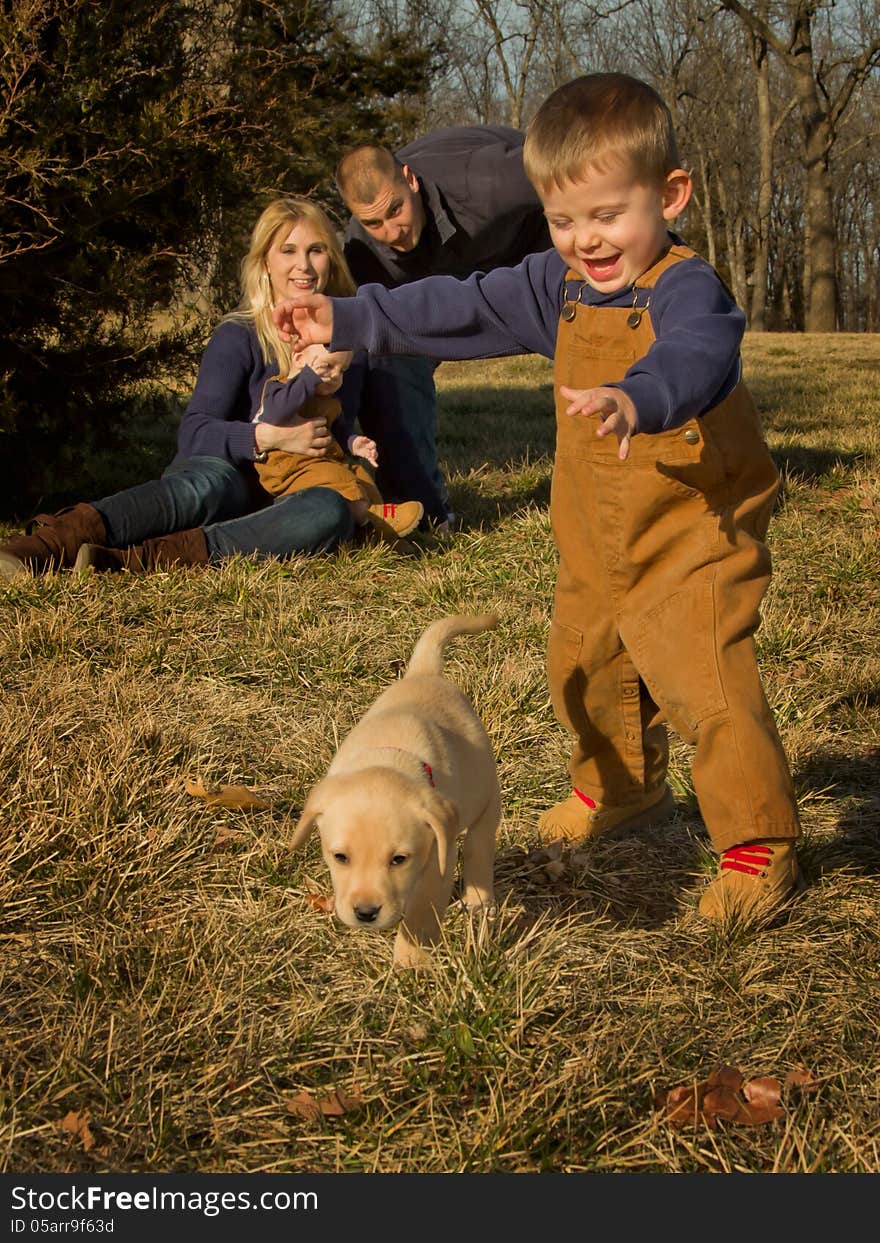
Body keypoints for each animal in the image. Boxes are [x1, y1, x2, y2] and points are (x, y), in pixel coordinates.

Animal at [293, 616, 502, 964]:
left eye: (399, 859)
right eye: (340, 857)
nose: (366, 913)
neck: (390, 757)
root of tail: (424, 672)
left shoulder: (437, 862)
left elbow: (420, 915)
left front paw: (411, 963)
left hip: (486, 795)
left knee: (479, 846)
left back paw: (477, 898)